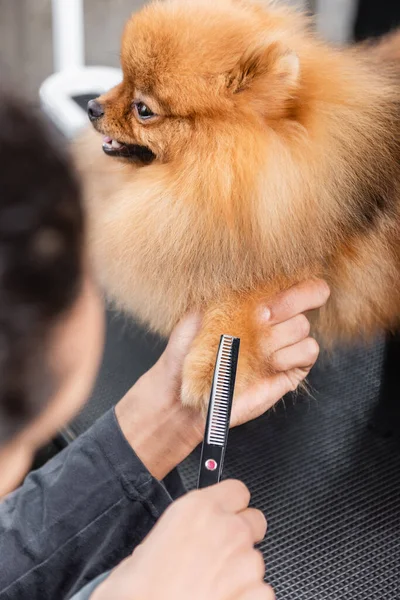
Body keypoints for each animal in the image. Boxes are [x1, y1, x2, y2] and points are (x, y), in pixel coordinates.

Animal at [74, 0, 400, 408]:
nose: (92, 106)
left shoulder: (286, 247)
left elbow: (247, 296)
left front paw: (211, 368)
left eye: (143, 109)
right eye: (121, 78)